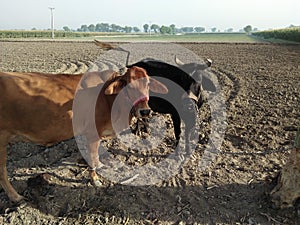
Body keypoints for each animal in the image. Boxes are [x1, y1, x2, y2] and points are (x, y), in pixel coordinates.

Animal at [0, 67, 169, 202]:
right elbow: (92, 158)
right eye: (128, 85)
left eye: (148, 84)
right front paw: (95, 180)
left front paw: (100, 165)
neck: (109, 100)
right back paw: (15, 197)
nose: (145, 111)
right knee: (2, 172)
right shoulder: (92, 134)